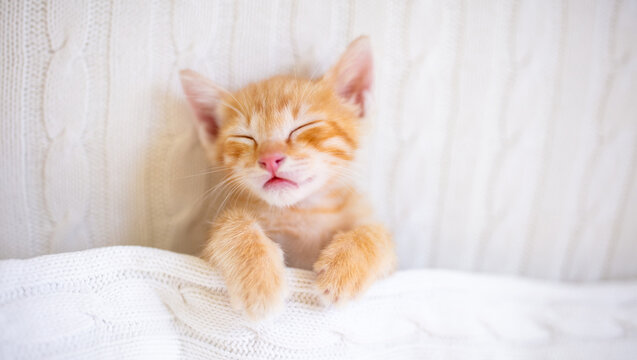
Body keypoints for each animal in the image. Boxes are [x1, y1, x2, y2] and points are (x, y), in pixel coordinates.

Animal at [179, 35, 396, 318]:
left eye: (302, 127)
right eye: (245, 137)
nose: (270, 158)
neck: (303, 212)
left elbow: (377, 233)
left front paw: (346, 266)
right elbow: (229, 223)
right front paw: (257, 279)